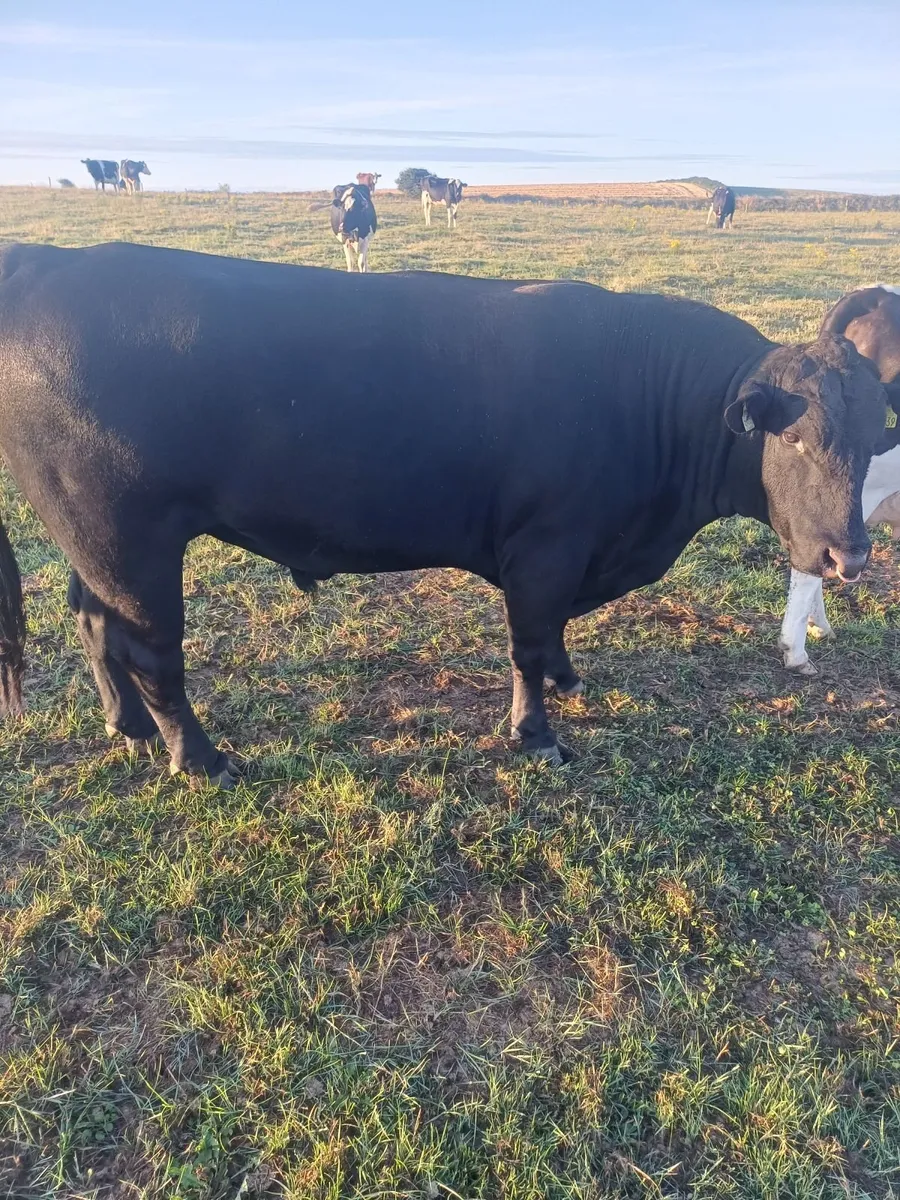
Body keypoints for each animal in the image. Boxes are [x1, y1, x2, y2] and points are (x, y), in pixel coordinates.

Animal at [0, 243, 887, 786]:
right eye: (796, 439)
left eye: (877, 432)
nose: (848, 559)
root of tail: (49, 264)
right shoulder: (546, 546)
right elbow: (527, 641)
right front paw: (537, 734)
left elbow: (552, 637)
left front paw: (567, 679)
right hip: (129, 540)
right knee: (153, 653)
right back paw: (199, 757)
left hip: (94, 543)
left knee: (92, 622)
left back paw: (126, 726)